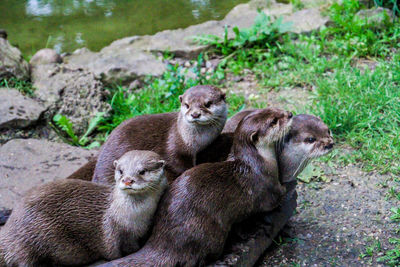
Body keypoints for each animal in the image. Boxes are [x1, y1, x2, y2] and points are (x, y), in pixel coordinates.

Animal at [0, 151, 167, 267]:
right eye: (121, 170)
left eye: (142, 171)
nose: (127, 180)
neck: (135, 218)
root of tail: (9, 231)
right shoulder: (117, 233)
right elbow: (121, 251)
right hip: (32, 237)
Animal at [92, 85, 227, 185]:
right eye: (187, 105)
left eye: (208, 104)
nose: (195, 114)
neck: (199, 141)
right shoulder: (176, 148)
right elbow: (178, 164)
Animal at [97, 108, 290, 266]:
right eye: (274, 121)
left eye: (274, 109)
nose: (289, 114)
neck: (258, 162)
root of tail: (165, 243)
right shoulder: (266, 186)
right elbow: (275, 198)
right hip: (212, 232)